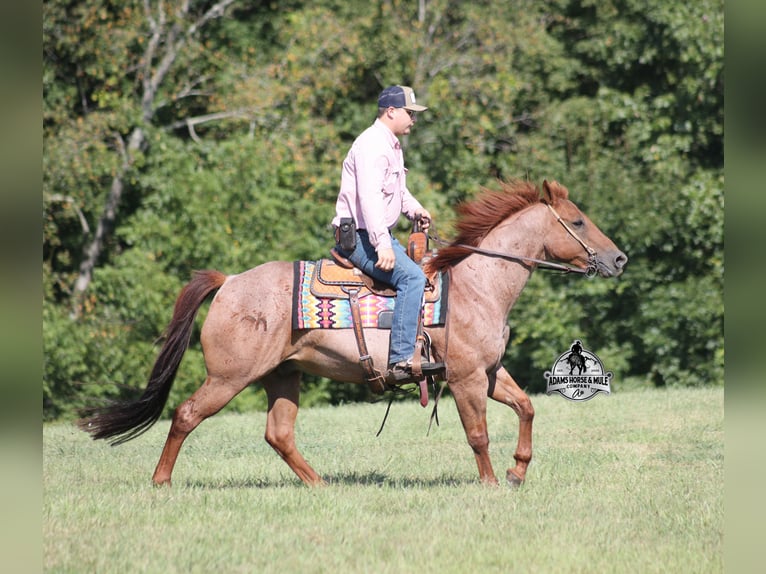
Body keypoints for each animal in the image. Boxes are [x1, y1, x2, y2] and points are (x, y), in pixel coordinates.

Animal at [79, 179, 627, 487]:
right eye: (578, 220)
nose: (619, 258)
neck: (478, 283)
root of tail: (229, 281)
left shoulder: (490, 372)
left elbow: (528, 408)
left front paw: (517, 471)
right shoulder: (467, 378)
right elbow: (478, 434)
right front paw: (493, 484)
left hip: (283, 376)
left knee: (278, 434)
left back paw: (321, 485)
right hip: (229, 377)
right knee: (187, 415)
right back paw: (161, 482)